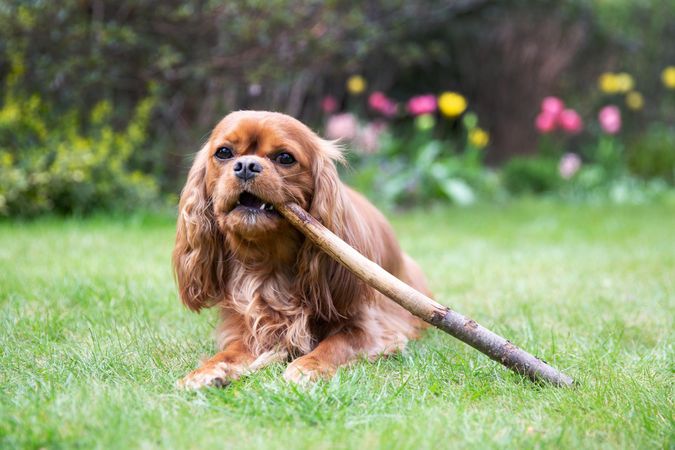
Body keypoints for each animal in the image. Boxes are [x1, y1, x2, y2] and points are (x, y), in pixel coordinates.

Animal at [172, 110, 430, 388]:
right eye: (223, 153)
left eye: (285, 157)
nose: (246, 166)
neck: (269, 265)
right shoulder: (249, 327)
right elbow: (230, 352)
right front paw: (205, 371)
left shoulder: (371, 327)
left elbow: (336, 344)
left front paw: (308, 366)